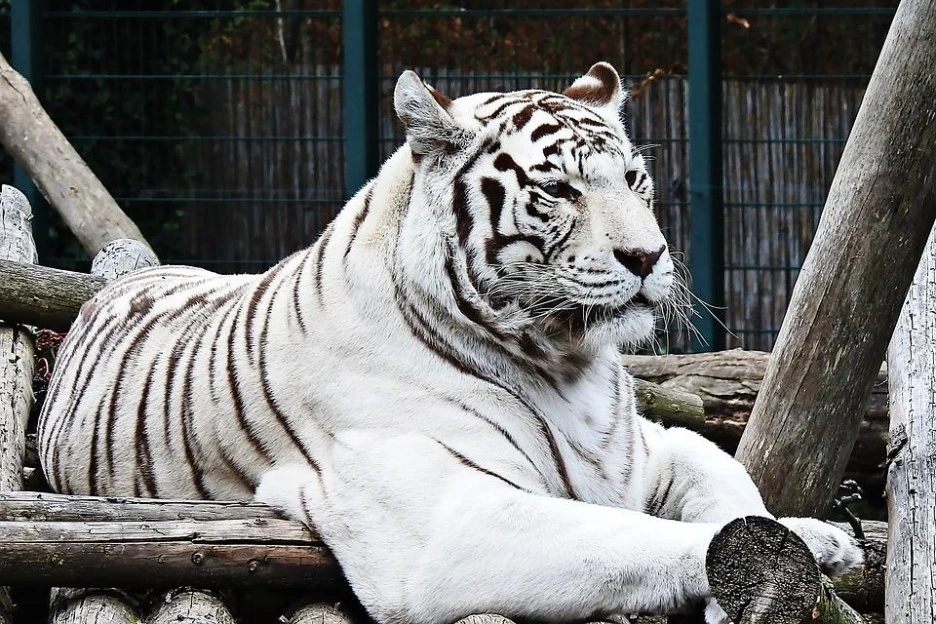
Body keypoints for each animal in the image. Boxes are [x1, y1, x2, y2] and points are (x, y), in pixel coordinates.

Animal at [38, 63, 861, 624]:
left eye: (634, 179)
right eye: (559, 190)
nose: (648, 255)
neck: (565, 364)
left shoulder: (653, 447)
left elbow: (734, 491)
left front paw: (808, 547)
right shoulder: (443, 524)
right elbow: (633, 537)